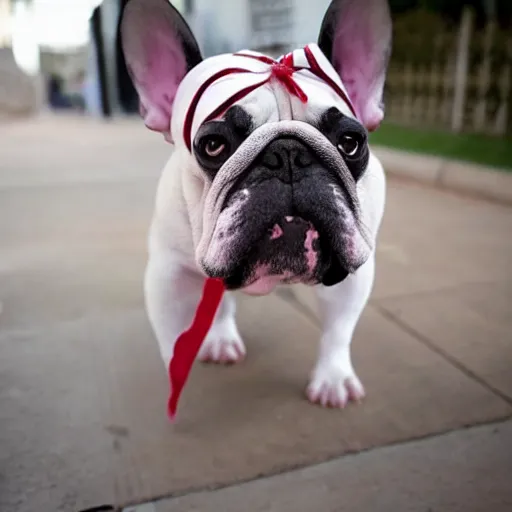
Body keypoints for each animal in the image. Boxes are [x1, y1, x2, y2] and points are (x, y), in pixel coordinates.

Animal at [120, 0, 392, 408]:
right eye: (212, 146)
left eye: (350, 142)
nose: (288, 155)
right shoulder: (169, 275)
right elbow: (171, 338)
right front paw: (177, 379)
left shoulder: (353, 272)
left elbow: (338, 331)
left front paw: (333, 379)